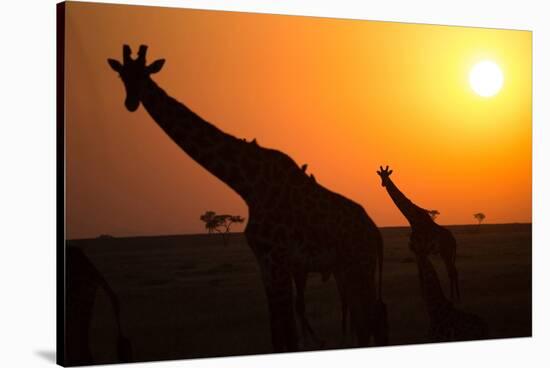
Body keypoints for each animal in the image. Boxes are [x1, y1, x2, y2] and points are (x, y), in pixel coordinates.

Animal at [109, 44, 388, 350]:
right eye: (122, 75)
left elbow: (287, 335)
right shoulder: (265, 263)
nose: (131, 102)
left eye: (144, 74)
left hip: (358, 266)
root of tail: (375, 233)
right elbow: (278, 334)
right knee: (368, 320)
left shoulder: (277, 260)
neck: (247, 185)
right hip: (349, 268)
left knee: (371, 318)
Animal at [378, 166, 464, 300]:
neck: (412, 220)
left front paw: (425, 298)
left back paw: (453, 297)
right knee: (454, 271)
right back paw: (456, 297)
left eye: (387, 175)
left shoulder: (419, 250)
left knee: (451, 272)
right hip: (447, 253)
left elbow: (423, 276)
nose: (383, 183)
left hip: (446, 252)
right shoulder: (417, 252)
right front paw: (424, 297)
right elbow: (420, 276)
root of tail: (454, 240)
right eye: (380, 176)